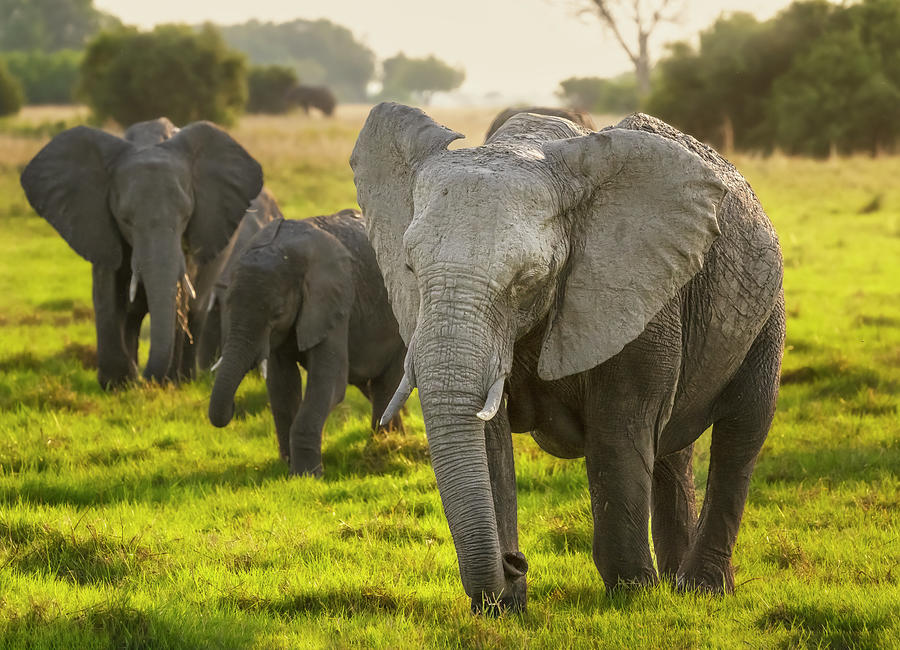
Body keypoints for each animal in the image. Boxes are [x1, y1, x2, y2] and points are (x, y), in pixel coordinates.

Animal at [20, 117, 264, 388]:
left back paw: (183, 379)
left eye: (186, 216)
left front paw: (162, 384)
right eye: (125, 219)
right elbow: (107, 294)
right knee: (132, 315)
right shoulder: (98, 225)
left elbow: (177, 294)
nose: (145, 380)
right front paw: (117, 384)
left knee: (196, 309)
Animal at [207, 210, 404, 474]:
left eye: (277, 313)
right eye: (227, 304)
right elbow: (282, 386)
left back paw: (380, 447)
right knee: (371, 385)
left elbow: (329, 384)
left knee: (384, 385)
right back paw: (398, 442)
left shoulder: (336, 303)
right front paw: (287, 468)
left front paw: (307, 475)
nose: (233, 408)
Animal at [348, 101, 784, 612]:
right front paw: (504, 611)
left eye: (527, 279)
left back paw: (702, 590)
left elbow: (619, 433)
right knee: (673, 451)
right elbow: (490, 439)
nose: (514, 562)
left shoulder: (637, 299)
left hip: (767, 312)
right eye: (410, 268)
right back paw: (682, 585)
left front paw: (633, 597)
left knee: (742, 431)